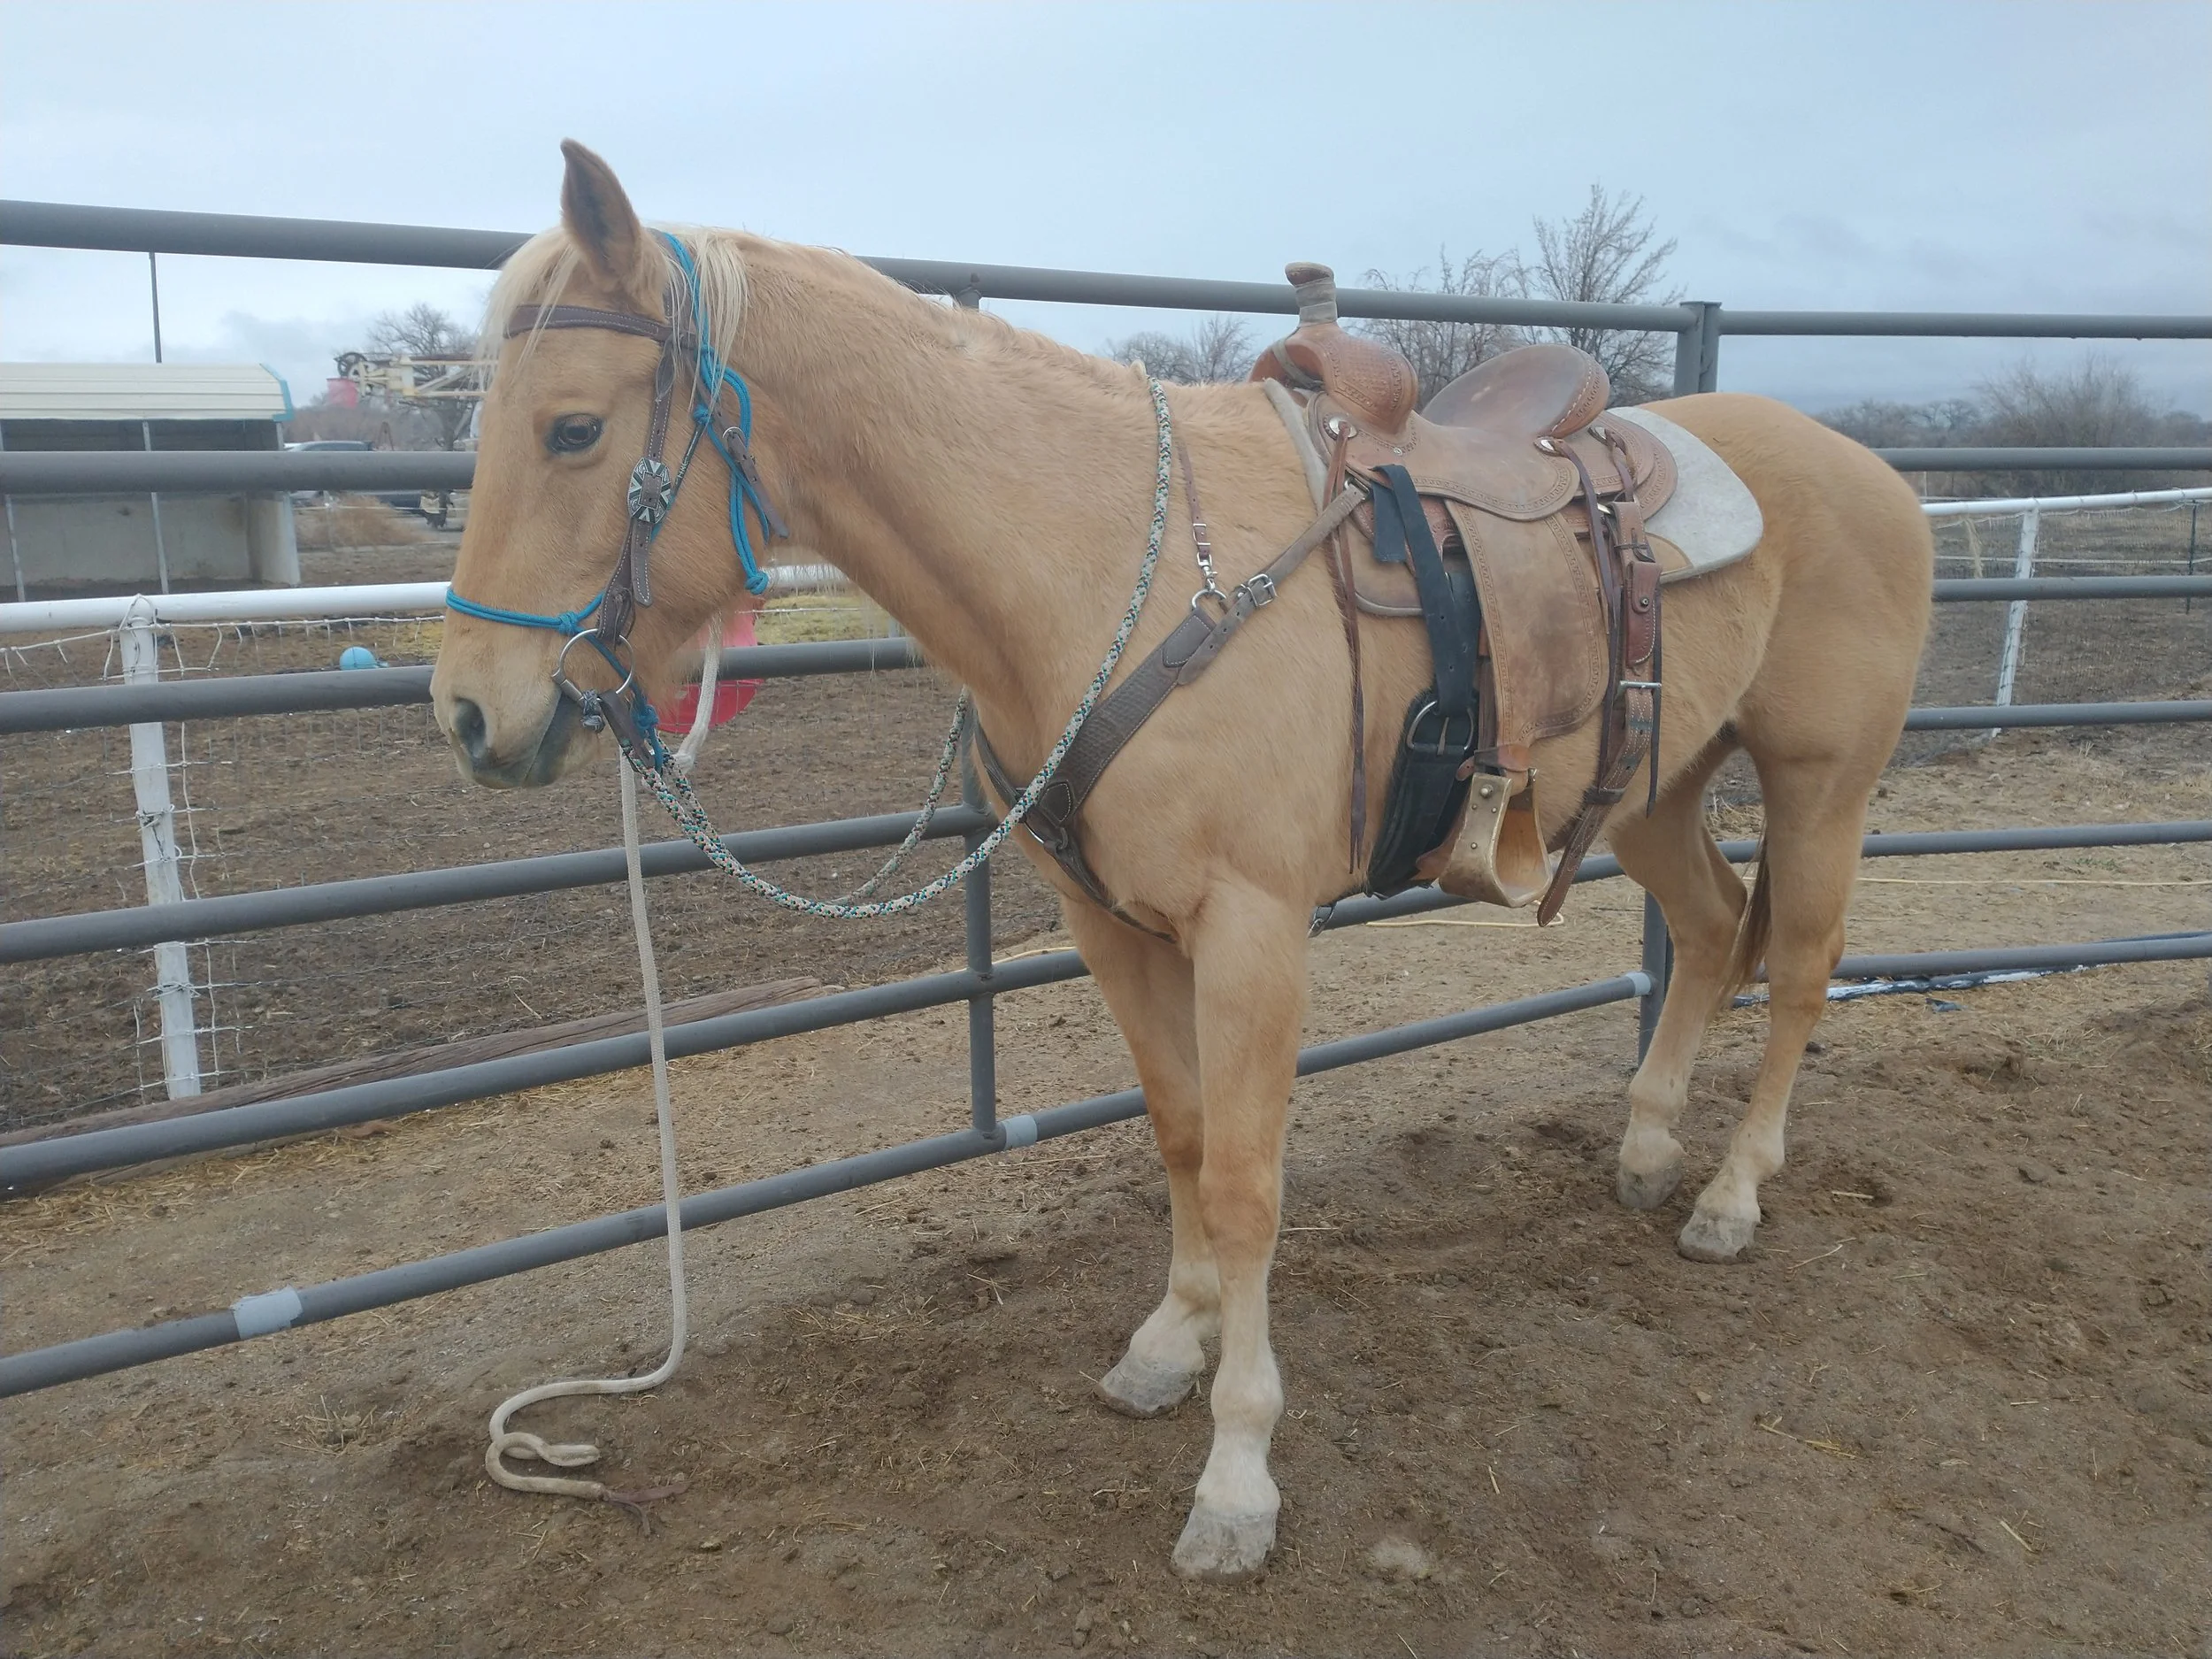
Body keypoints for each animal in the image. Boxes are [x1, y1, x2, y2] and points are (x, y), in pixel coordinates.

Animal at [430, 140, 1933, 1581]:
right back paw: (1646, 1144)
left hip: (1821, 781)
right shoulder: (1114, 924)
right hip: (1652, 789)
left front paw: (1237, 1475)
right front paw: (1171, 1340)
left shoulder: (1253, 929)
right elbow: (1183, 1132)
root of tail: (1866, 469)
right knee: (1716, 926)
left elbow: (1247, 1181)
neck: (1111, 571)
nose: (470, 714)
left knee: (1801, 965)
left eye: (574, 427)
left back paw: (1730, 1195)